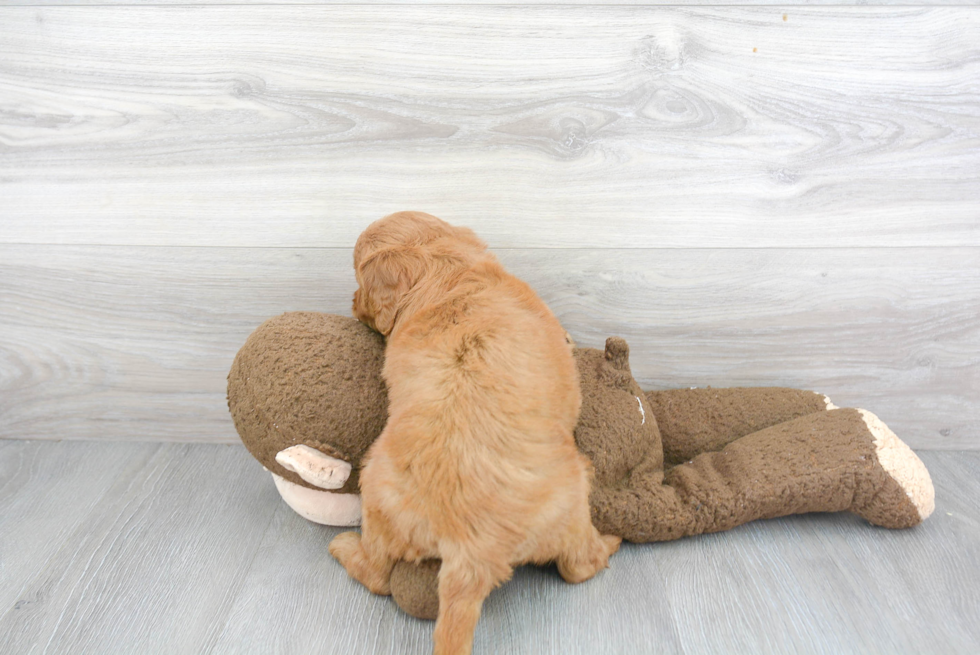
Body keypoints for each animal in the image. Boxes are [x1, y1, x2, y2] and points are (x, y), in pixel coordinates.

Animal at [330, 213, 620, 652]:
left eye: (357, 277)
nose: (351, 302)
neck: (447, 272)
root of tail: (469, 550)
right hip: (574, 499)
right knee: (578, 567)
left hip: (378, 497)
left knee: (379, 574)